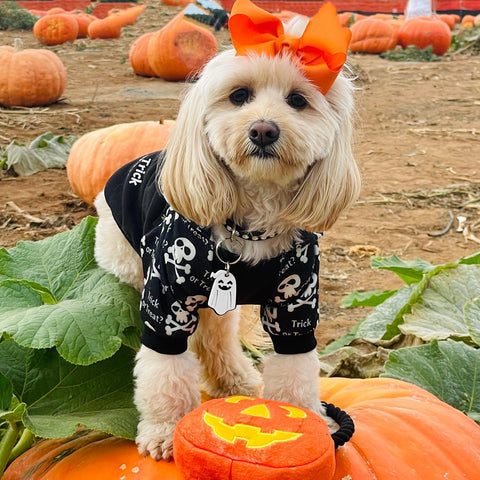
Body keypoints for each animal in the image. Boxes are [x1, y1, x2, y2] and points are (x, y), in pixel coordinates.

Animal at [93, 0, 360, 462]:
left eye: (298, 100)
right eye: (239, 96)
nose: (263, 129)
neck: (251, 227)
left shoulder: (295, 307)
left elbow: (295, 374)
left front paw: (307, 426)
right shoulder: (164, 305)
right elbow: (164, 373)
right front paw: (166, 430)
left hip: (220, 304)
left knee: (214, 339)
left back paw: (237, 382)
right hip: (129, 269)